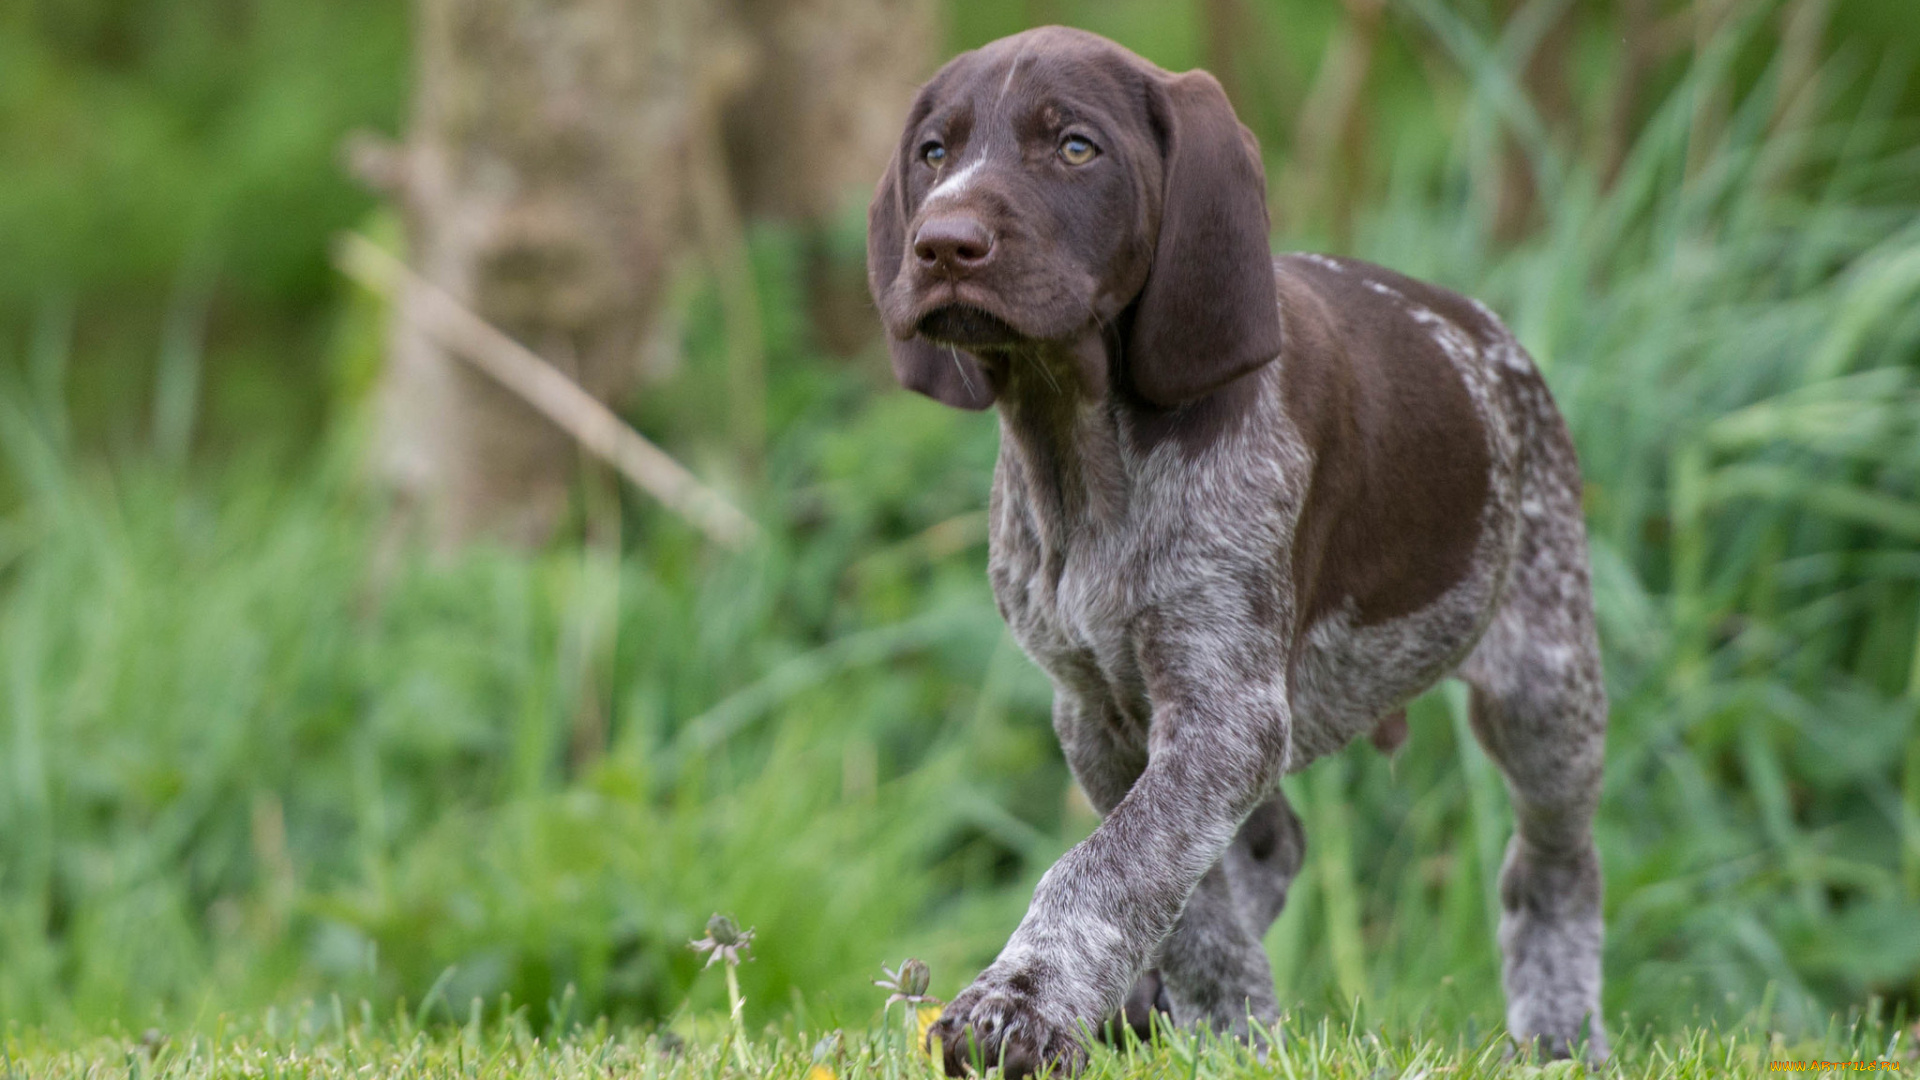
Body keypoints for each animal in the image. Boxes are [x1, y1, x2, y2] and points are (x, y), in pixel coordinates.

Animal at [867, 23, 1605, 1068]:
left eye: (1077, 148)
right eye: (934, 152)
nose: (943, 242)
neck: (1083, 446)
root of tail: (1493, 335)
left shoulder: (1225, 709)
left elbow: (1115, 865)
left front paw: (1027, 1005)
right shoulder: (1097, 714)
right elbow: (1179, 885)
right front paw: (1224, 1022)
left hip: (1545, 688)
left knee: (1552, 866)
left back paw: (1560, 1032)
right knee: (1268, 843)